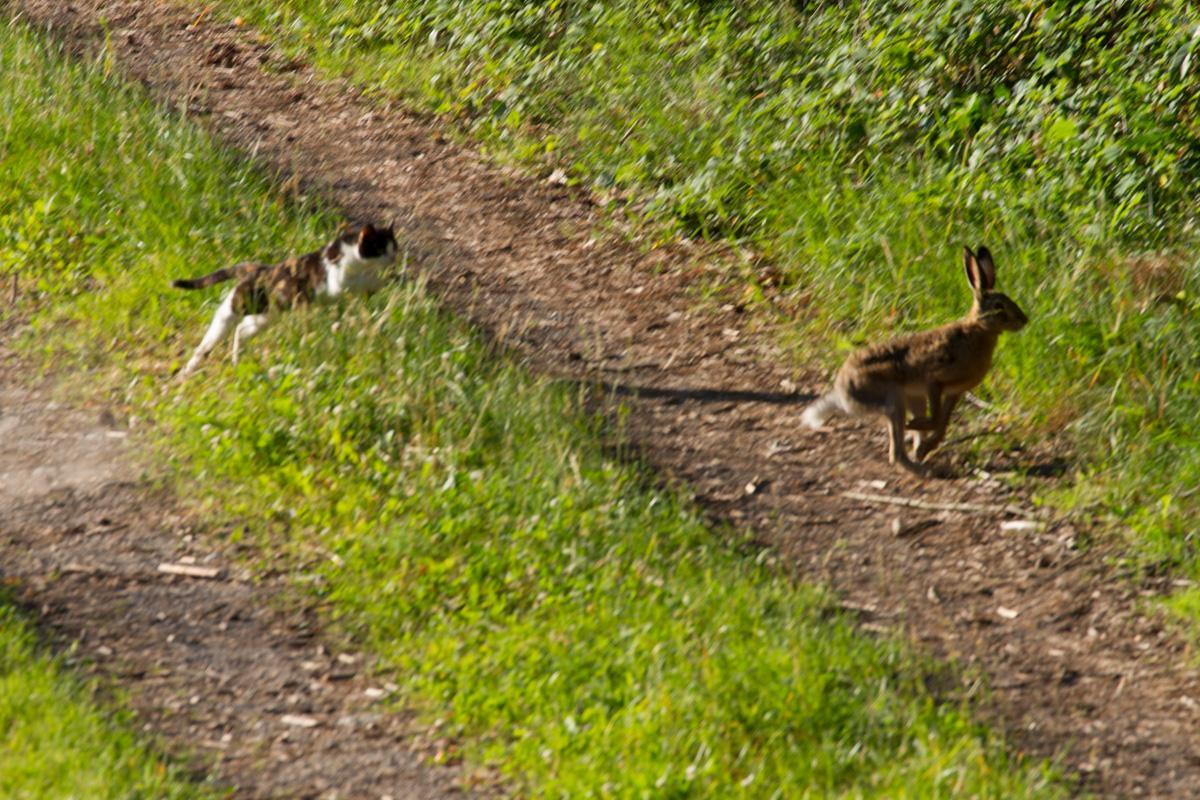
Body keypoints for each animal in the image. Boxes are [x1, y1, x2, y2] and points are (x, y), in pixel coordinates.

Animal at [174, 221, 398, 379]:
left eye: (395, 248)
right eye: (379, 249)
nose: (393, 259)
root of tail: (258, 269)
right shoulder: (338, 282)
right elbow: (364, 281)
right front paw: (386, 281)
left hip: (263, 317)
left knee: (238, 331)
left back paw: (230, 361)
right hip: (238, 309)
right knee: (217, 337)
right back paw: (194, 369)